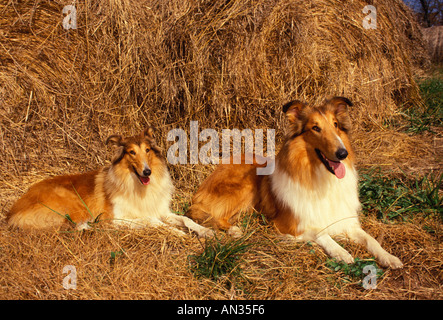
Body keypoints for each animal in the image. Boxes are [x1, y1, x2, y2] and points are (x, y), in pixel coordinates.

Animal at [6, 127, 212, 238]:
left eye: (147, 150)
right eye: (131, 152)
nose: (147, 171)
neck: (136, 184)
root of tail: (13, 213)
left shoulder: (161, 211)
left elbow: (185, 219)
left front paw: (204, 231)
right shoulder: (117, 218)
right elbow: (152, 221)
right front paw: (177, 233)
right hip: (72, 202)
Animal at [189, 97, 404, 268]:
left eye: (335, 124)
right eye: (315, 128)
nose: (343, 154)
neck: (320, 176)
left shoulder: (347, 221)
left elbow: (371, 239)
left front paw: (389, 257)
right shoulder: (291, 225)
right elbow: (321, 233)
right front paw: (341, 252)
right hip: (246, 186)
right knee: (207, 213)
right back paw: (233, 229)